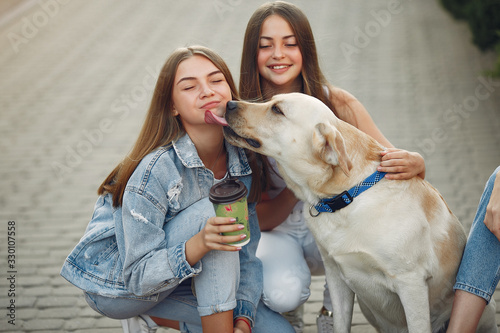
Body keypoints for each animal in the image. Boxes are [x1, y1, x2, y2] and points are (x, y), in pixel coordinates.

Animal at [223, 92, 496, 332]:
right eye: (270, 101)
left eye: (277, 110)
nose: (229, 103)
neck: (347, 197)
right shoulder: (336, 275)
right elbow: (340, 324)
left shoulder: (411, 282)